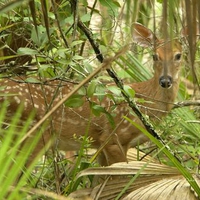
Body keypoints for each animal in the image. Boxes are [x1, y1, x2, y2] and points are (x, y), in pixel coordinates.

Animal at [0, 23, 183, 167]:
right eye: (155, 56)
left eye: (178, 55)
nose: (165, 80)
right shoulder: (113, 137)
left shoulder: (100, 145)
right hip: (31, 132)